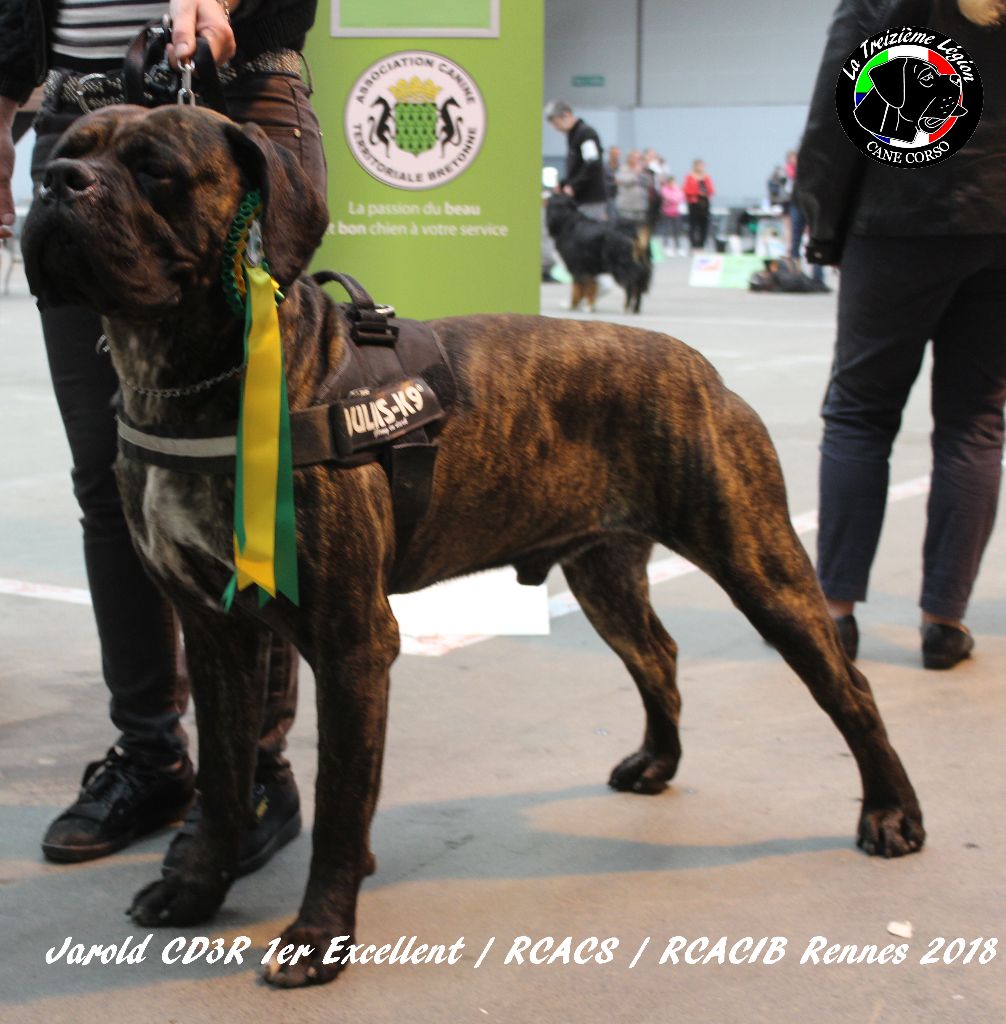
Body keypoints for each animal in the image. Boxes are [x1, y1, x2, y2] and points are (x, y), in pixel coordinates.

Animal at [21, 103, 930, 983]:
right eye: (61, 151)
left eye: (155, 169)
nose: (60, 182)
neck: (185, 375)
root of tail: (698, 366)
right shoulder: (214, 635)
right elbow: (221, 778)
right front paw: (196, 889)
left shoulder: (351, 643)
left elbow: (341, 800)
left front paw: (320, 936)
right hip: (604, 576)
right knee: (659, 658)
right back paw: (657, 762)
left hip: (762, 570)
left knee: (849, 688)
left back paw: (891, 812)